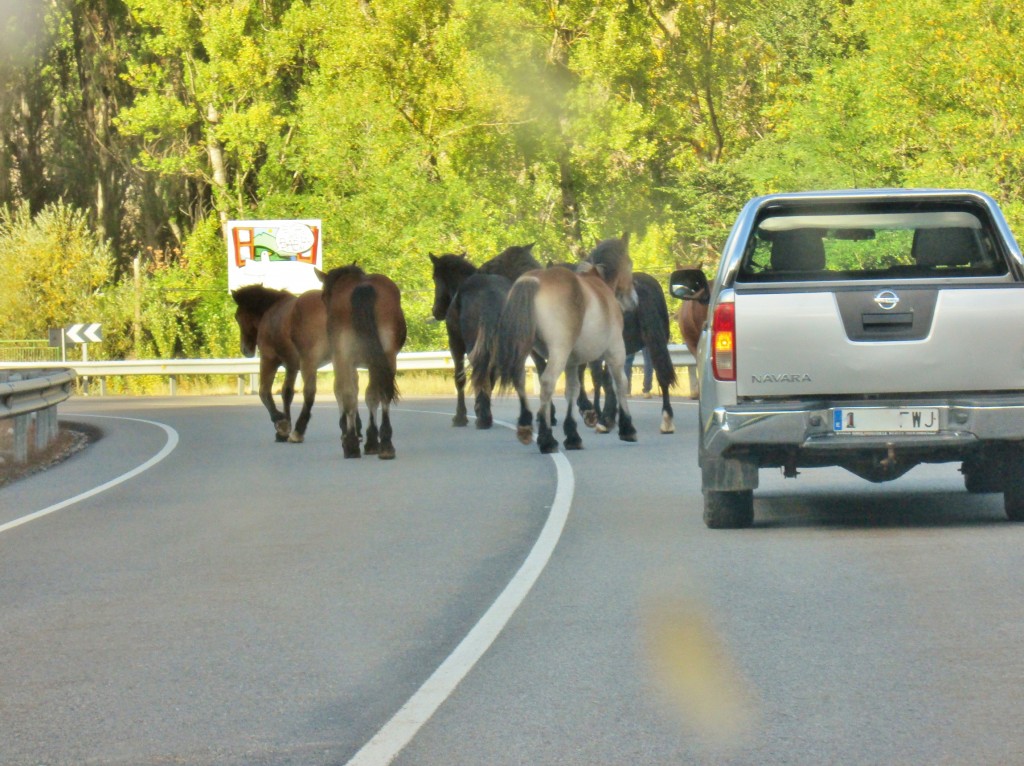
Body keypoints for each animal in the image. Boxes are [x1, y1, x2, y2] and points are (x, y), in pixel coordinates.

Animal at [232, 286, 327, 442]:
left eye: (237, 316)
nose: (244, 350)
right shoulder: (291, 366)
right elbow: (287, 393)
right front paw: (284, 428)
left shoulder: (268, 359)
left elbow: (264, 391)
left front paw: (281, 423)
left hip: (309, 362)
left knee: (309, 392)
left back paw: (298, 430)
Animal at [317, 264, 405, 460]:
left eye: (324, 297)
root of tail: (363, 288)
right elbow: (369, 394)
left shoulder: (341, 360)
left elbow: (343, 391)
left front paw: (349, 432)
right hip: (387, 356)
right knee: (382, 393)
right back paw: (384, 444)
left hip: (345, 356)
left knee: (349, 393)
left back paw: (352, 445)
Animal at [491, 264, 634, 452]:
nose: (632, 301)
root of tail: (534, 280)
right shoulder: (615, 351)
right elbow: (620, 384)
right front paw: (627, 428)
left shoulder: (571, 363)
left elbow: (572, 390)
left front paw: (572, 435)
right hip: (559, 351)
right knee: (547, 383)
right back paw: (546, 439)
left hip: (525, 348)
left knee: (520, 379)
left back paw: (525, 426)